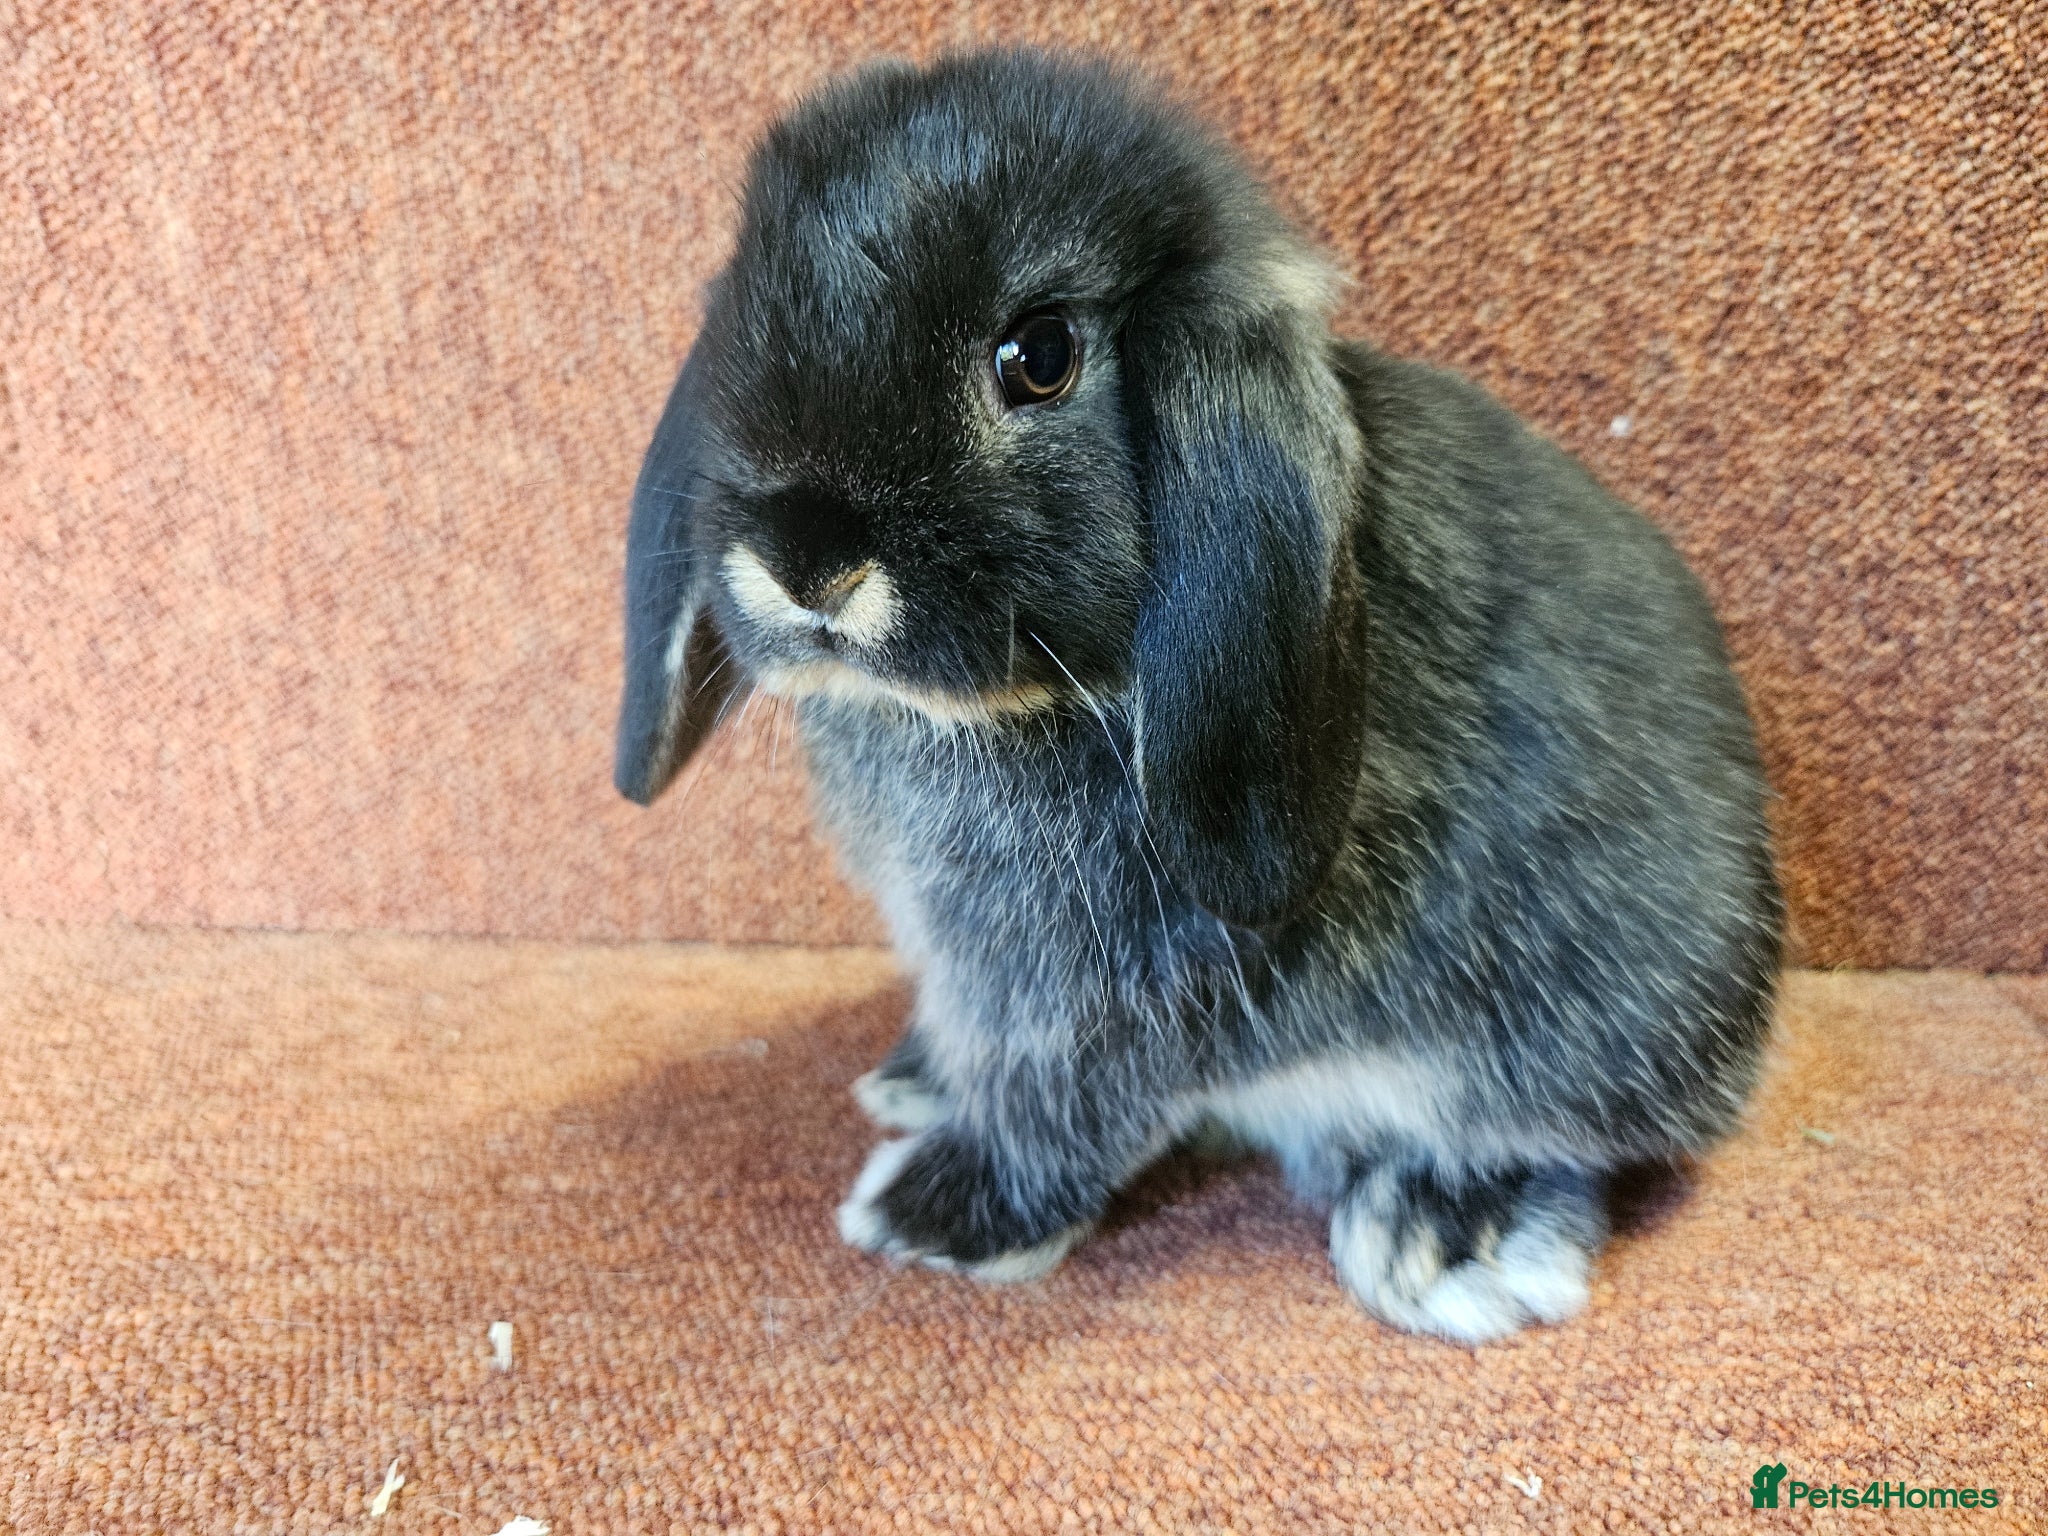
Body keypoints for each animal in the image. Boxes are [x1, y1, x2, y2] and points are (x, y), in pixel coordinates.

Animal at [614, 49, 1782, 1342]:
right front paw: (920, 1086)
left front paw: (933, 1214)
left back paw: (1445, 1233)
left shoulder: (1129, 992)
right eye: (742, 309)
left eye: (1038, 355)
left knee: (1562, 1140)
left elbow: (1063, 1102)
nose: (804, 557)